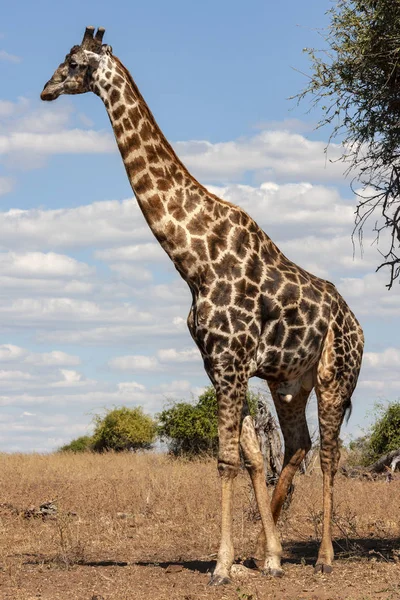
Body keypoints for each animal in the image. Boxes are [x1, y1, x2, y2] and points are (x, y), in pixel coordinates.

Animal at [41, 25, 366, 584]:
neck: (193, 259)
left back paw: (323, 556)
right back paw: (267, 553)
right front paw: (262, 557)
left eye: (75, 63)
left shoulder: (231, 363)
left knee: (329, 455)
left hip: (335, 376)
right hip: (289, 382)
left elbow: (227, 459)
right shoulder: (219, 364)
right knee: (299, 445)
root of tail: (361, 326)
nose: (46, 89)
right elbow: (250, 456)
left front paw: (221, 564)